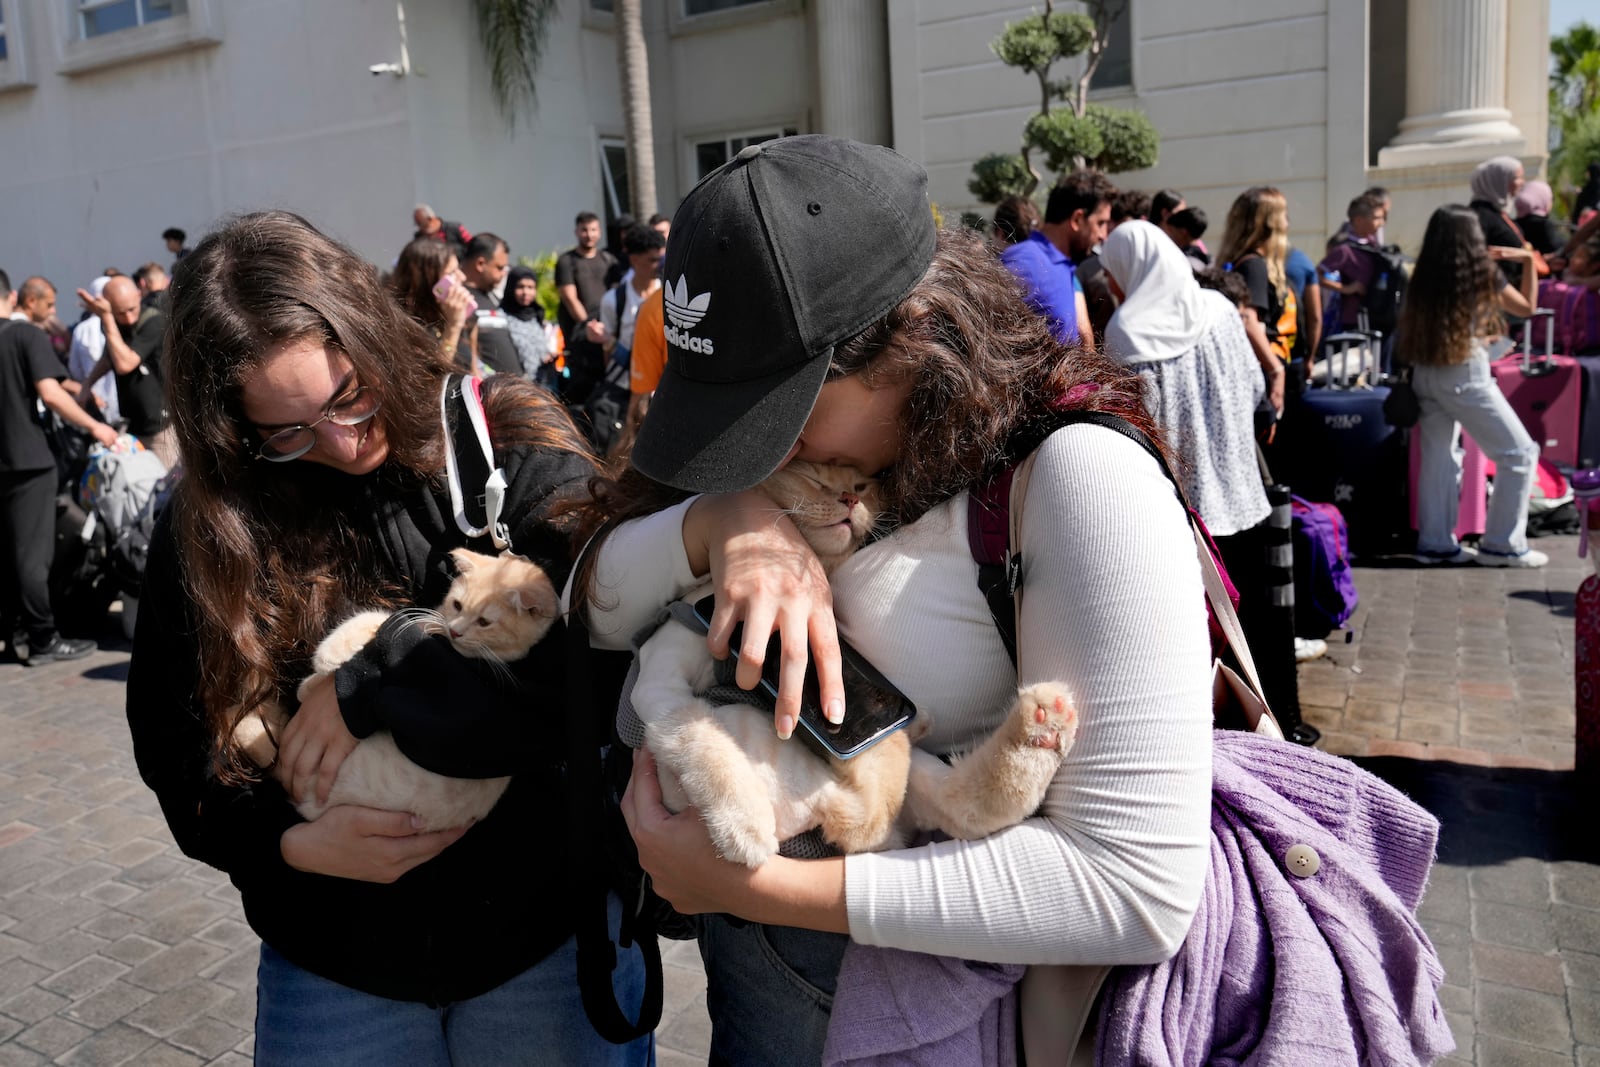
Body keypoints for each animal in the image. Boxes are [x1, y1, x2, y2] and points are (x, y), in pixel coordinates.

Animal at [232, 550, 563, 831]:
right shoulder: (434, 624)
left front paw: (328, 656)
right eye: (457, 605)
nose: (456, 630)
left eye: (484, 622)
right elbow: (403, 620)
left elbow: (381, 622)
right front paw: (313, 681)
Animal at [630, 460, 1081, 870]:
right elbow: (703, 743)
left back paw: (1040, 727)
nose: (849, 498)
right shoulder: (661, 685)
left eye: (861, 485)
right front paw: (745, 828)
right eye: (814, 478)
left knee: (940, 804)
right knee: (883, 812)